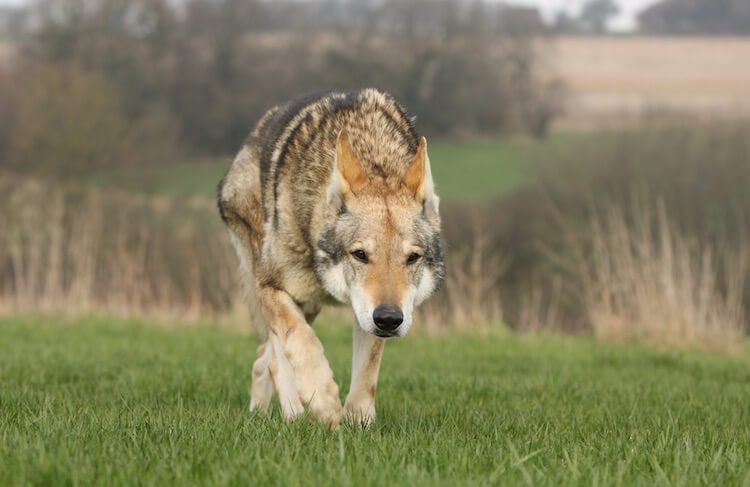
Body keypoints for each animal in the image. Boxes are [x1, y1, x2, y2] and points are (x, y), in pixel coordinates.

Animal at [217, 88, 444, 428]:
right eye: (360, 255)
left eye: (412, 258)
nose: (390, 319)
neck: (374, 153)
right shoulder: (270, 286)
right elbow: (303, 343)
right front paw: (324, 404)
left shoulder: (367, 313)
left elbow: (367, 373)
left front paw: (359, 423)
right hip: (279, 290)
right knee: (277, 356)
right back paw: (294, 417)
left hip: (308, 305)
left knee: (262, 357)